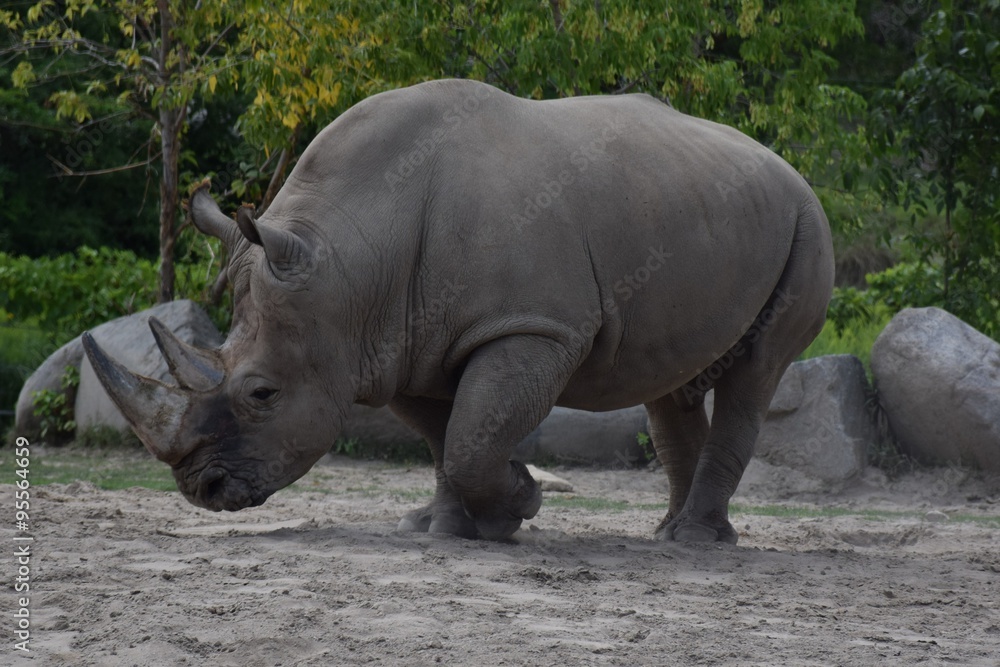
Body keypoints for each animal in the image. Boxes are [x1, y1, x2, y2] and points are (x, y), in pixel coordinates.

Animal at [83, 79, 833, 544]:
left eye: (262, 393)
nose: (201, 489)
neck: (350, 264)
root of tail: (781, 161)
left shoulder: (531, 327)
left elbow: (474, 433)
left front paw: (518, 504)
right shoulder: (393, 341)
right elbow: (444, 437)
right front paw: (447, 527)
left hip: (805, 219)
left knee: (756, 372)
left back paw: (694, 539)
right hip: (702, 209)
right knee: (670, 383)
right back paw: (669, 532)